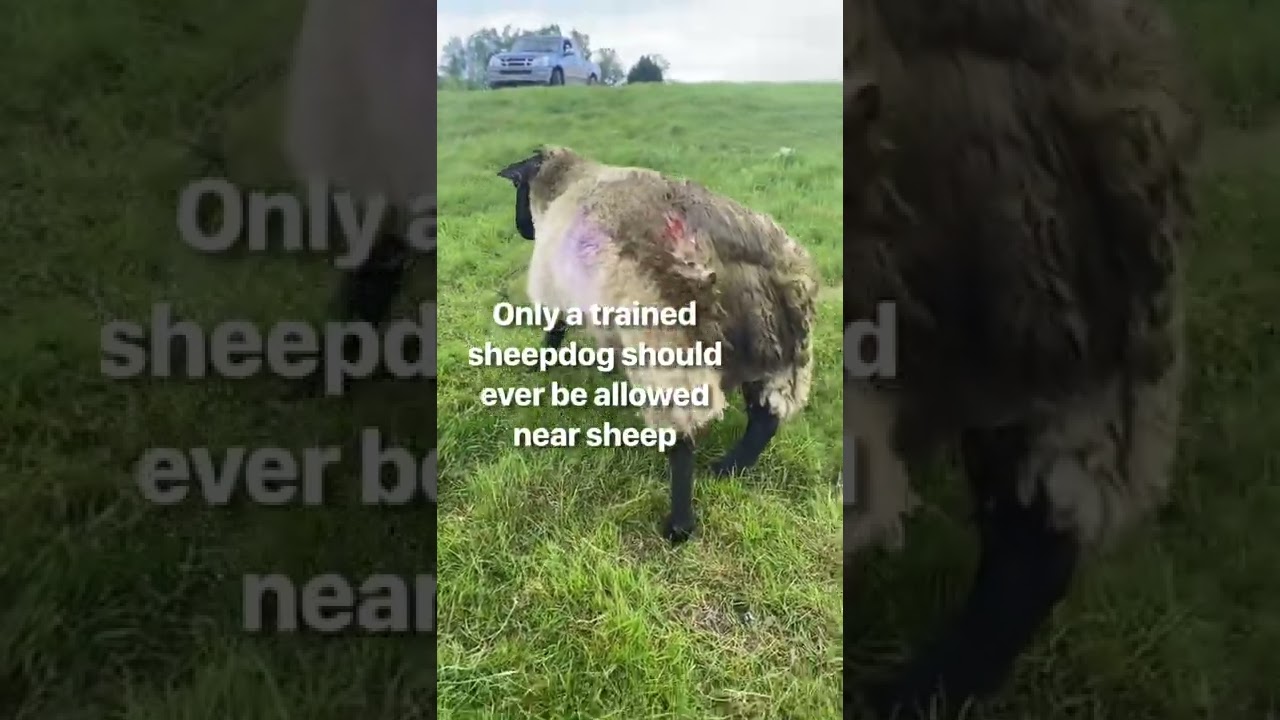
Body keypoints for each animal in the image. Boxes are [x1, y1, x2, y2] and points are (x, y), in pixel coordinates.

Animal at [495, 146, 819, 542]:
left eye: (516, 186)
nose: (522, 229)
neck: (566, 182)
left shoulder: (555, 290)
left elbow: (553, 330)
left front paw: (538, 364)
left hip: (671, 355)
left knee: (683, 442)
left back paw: (679, 525)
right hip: (783, 354)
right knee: (765, 419)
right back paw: (728, 469)